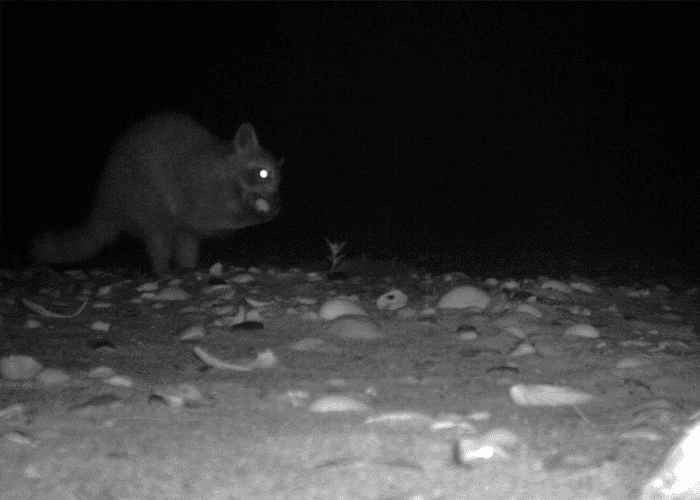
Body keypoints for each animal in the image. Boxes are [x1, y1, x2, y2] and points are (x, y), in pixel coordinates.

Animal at [30, 114, 282, 274]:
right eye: (262, 173)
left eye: (278, 180)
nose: (276, 198)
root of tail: (106, 191)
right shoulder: (198, 187)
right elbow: (208, 217)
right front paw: (253, 214)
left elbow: (197, 230)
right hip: (140, 192)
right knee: (158, 233)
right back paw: (162, 269)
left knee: (186, 238)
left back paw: (188, 266)